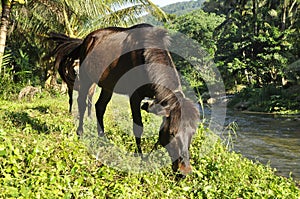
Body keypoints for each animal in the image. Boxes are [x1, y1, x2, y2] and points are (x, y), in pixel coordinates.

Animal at [49, 23, 199, 177]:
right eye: (172, 133)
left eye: (192, 133)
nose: (184, 171)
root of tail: (86, 40)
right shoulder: (134, 96)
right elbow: (138, 127)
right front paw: (141, 157)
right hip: (86, 78)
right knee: (82, 103)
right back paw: (80, 132)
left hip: (107, 85)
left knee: (100, 107)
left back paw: (102, 138)